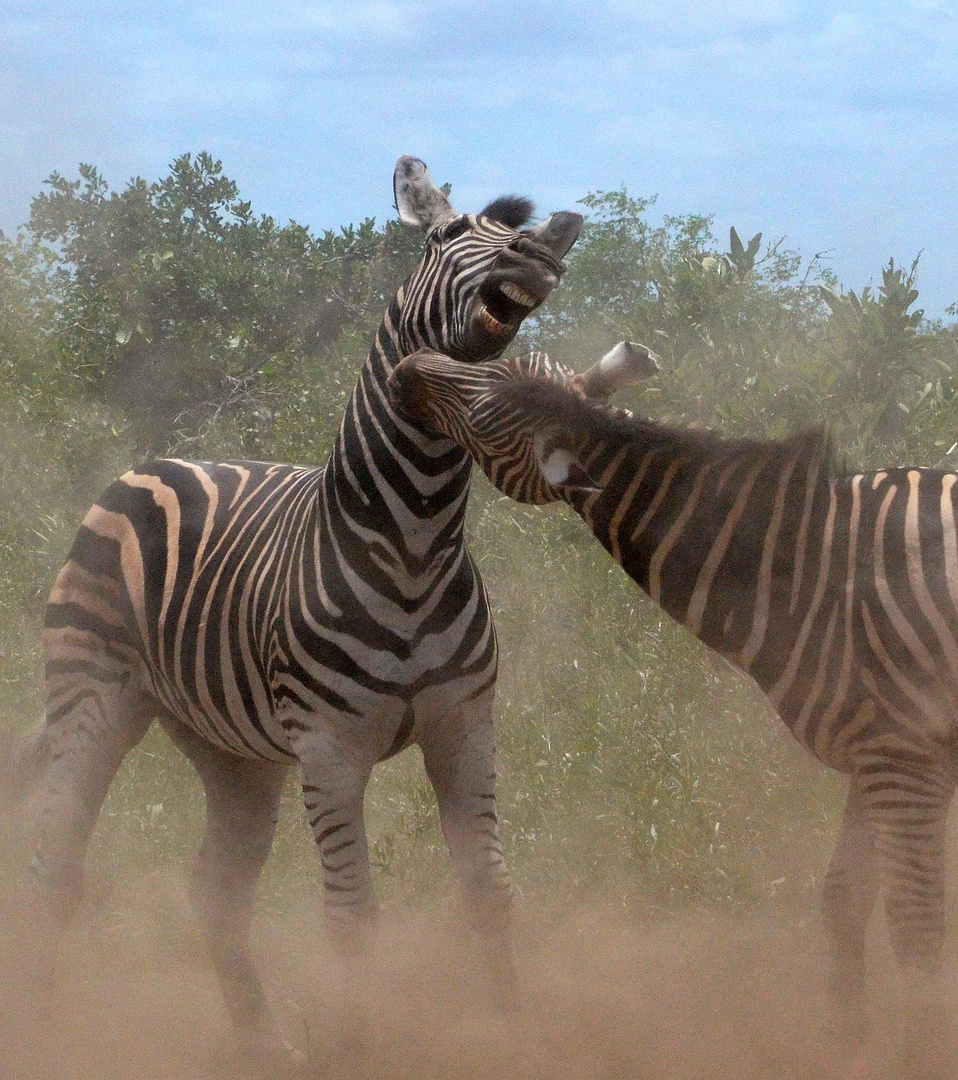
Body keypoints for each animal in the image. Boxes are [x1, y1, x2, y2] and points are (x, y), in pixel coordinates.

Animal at [9, 156, 583, 1058]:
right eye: (446, 235)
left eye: (518, 235)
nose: (534, 254)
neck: (414, 540)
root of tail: (158, 463)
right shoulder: (330, 748)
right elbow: (351, 916)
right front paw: (356, 1047)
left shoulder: (465, 725)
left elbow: (490, 894)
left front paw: (512, 1033)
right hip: (91, 696)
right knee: (56, 865)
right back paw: (39, 1026)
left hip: (231, 750)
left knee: (214, 888)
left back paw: (258, 1043)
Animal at [388, 349, 958, 1075]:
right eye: (506, 361)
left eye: (485, 418)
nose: (409, 364)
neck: (810, 563)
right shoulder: (874, 753)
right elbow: (844, 900)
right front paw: (845, 1046)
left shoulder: (907, 753)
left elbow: (916, 925)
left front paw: (921, 1056)